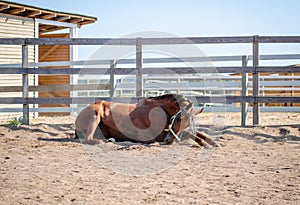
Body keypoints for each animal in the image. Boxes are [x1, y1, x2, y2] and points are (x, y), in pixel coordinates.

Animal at [75, 93, 218, 148]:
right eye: (178, 119)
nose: (167, 140)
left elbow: (198, 133)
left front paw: (214, 142)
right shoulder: (161, 136)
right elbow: (189, 134)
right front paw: (206, 144)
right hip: (95, 115)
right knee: (88, 138)